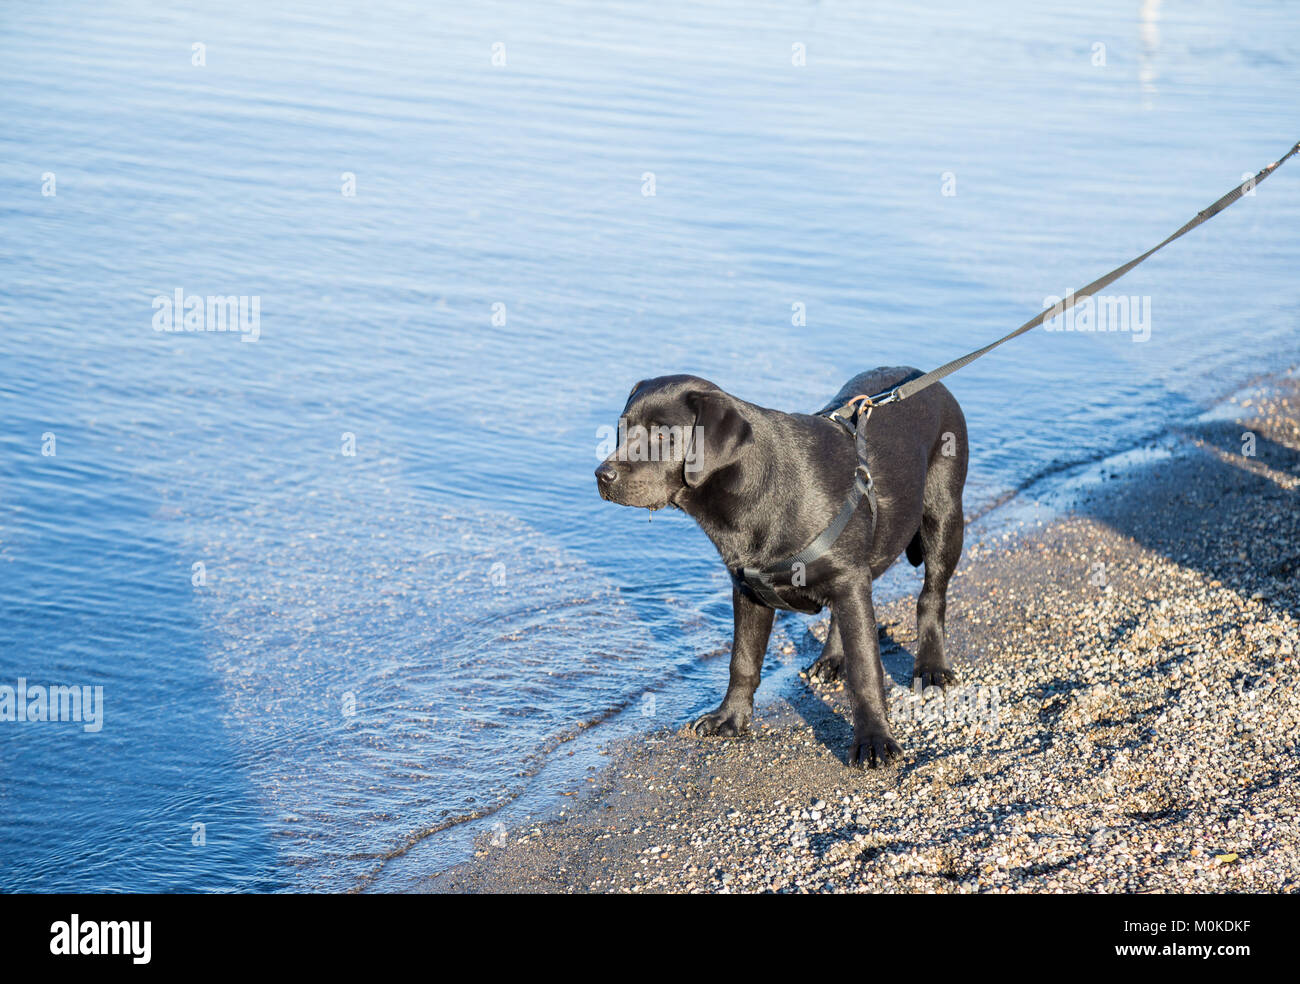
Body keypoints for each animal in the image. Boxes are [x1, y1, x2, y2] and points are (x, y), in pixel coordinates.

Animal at [595, 366, 967, 769]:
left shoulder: (848, 577)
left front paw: (874, 740)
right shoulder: (749, 591)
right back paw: (831, 659)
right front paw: (730, 717)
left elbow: (866, 668)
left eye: (664, 434)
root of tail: (924, 377)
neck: (754, 492)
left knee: (931, 597)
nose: (602, 475)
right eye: (622, 428)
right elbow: (742, 661)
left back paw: (931, 667)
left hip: (944, 518)